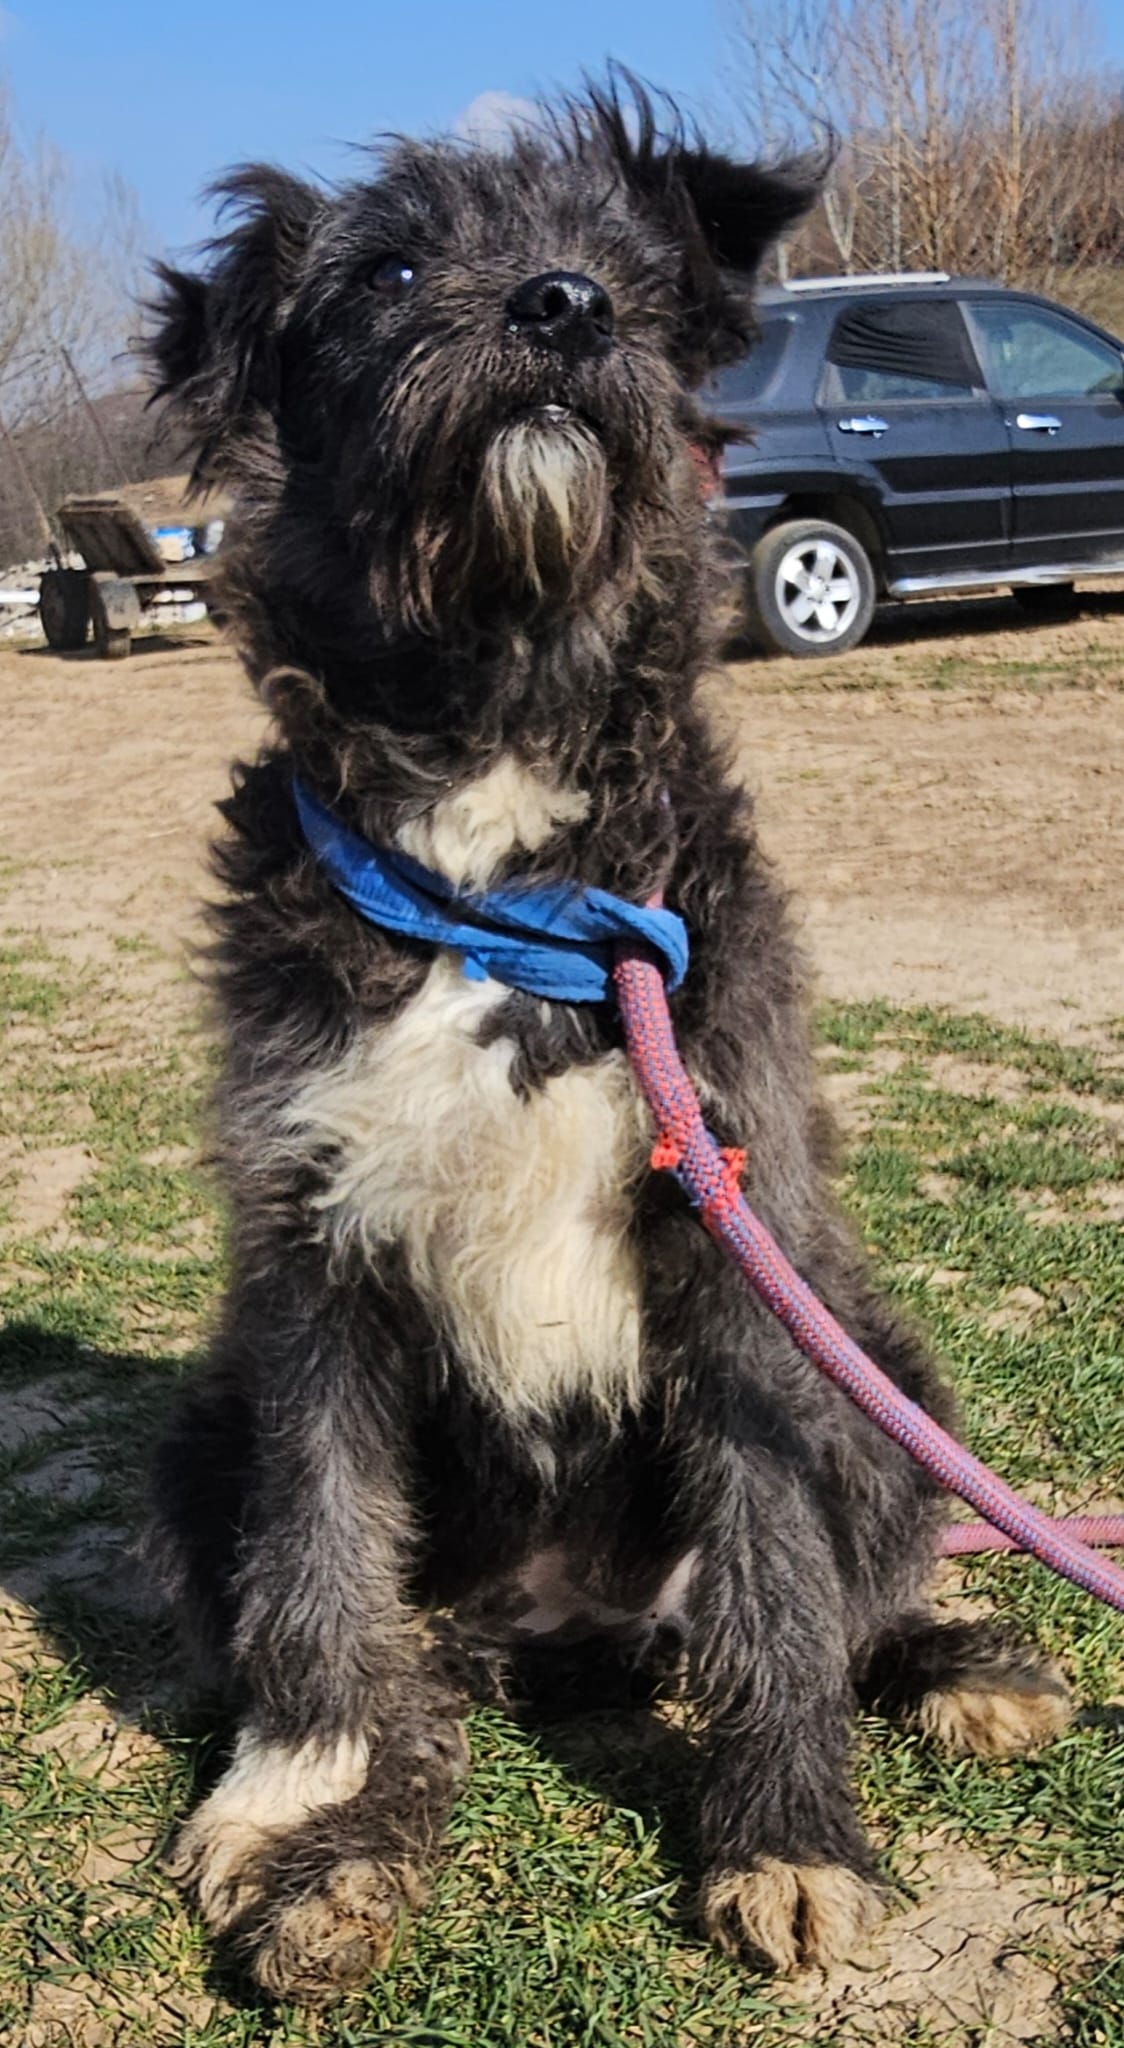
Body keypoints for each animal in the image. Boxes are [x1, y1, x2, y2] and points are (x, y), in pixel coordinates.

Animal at [145, 77, 1072, 2004]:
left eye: (625, 265)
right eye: (388, 268)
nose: (561, 309)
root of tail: (569, 1631)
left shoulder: (731, 1234)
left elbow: (780, 1576)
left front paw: (786, 1832)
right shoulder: (307, 1253)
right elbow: (315, 1541)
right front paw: (301, 1786)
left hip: (879, 1367)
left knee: (830, 1588)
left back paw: (953, 1663)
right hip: (203, 1432)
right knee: (400, 1657)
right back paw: (348, 1850)